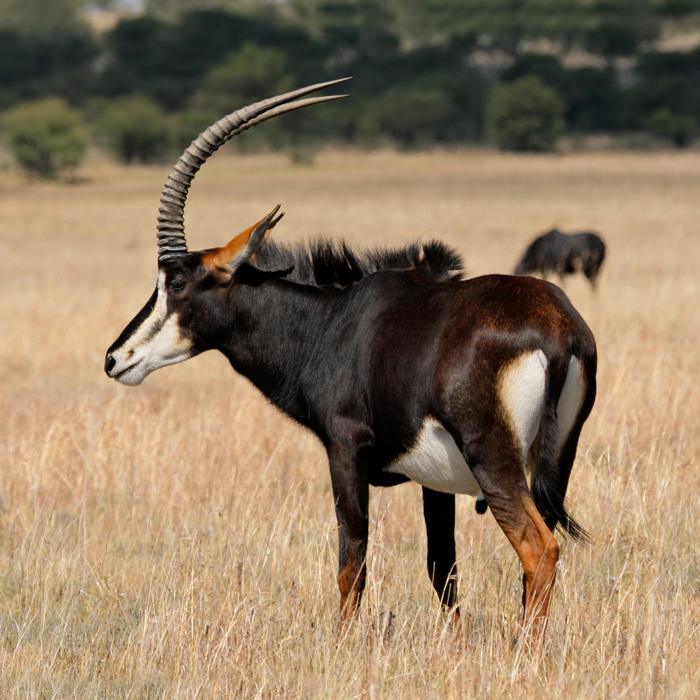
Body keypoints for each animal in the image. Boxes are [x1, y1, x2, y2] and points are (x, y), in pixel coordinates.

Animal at [105, 79, 597, 638]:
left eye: (177, 283)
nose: (116, 358)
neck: (331, 322)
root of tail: (557, 332)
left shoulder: (345, 449)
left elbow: (351, 562)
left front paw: (341, 642)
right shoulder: (436, 483)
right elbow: (442, 569)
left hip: (494, 461)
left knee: (539, 550)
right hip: (556, 460)